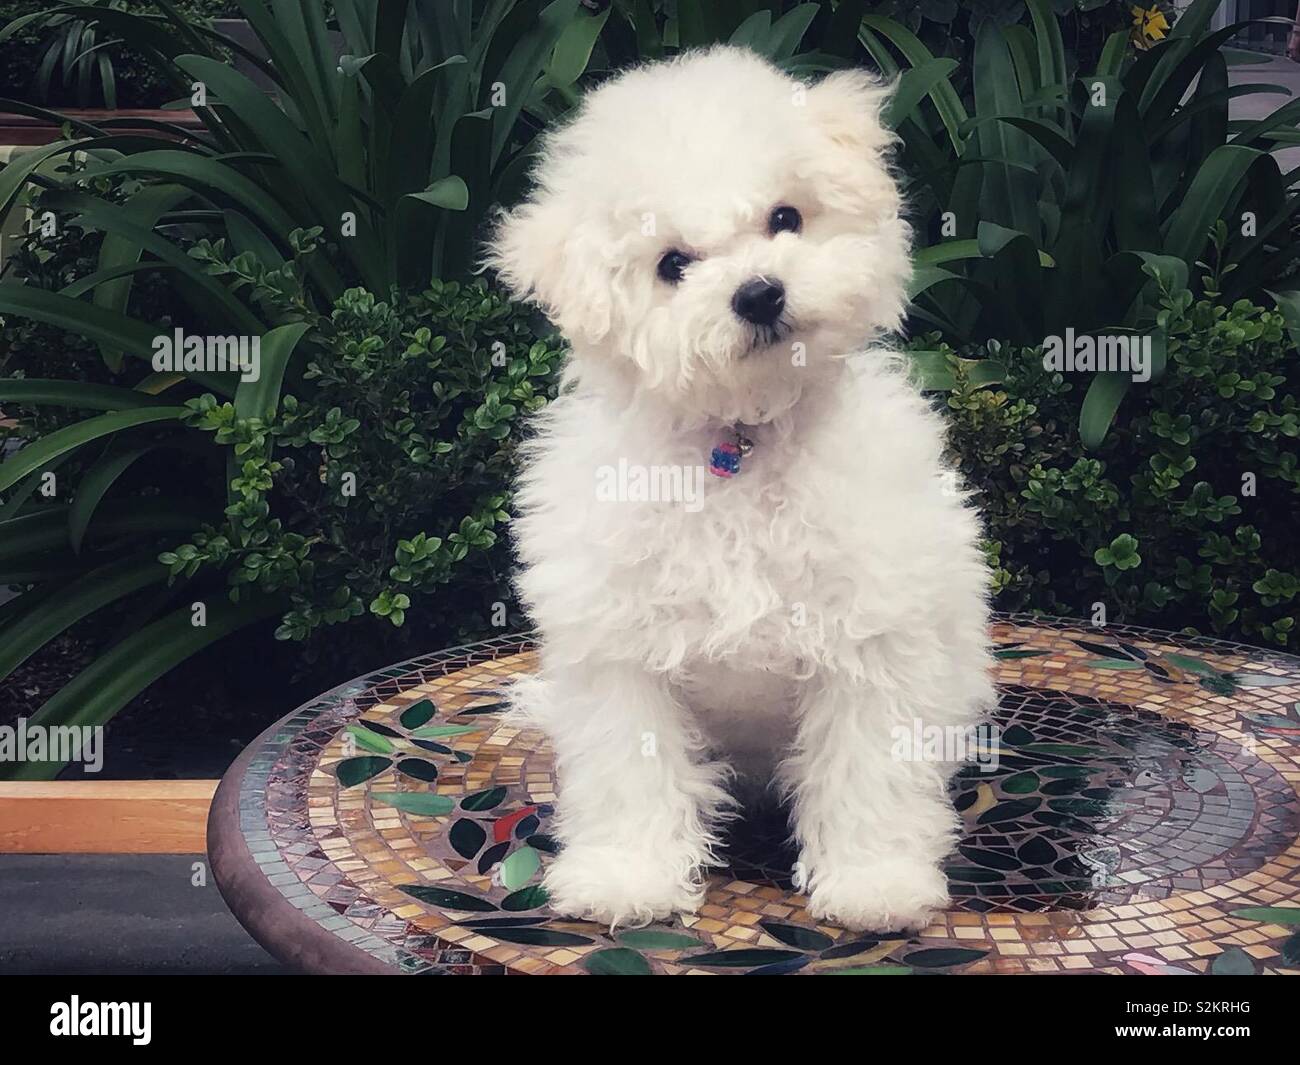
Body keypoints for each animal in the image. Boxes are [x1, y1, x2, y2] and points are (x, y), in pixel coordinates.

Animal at [488, 47, 993, 931]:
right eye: (672, 265)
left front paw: (874, 881)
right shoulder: (622, 653)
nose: (759, 292)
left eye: (786, 217)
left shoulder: (873, 639)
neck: (743, 440)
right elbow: (630, 769)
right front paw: (628, 874)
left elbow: (869, 768)